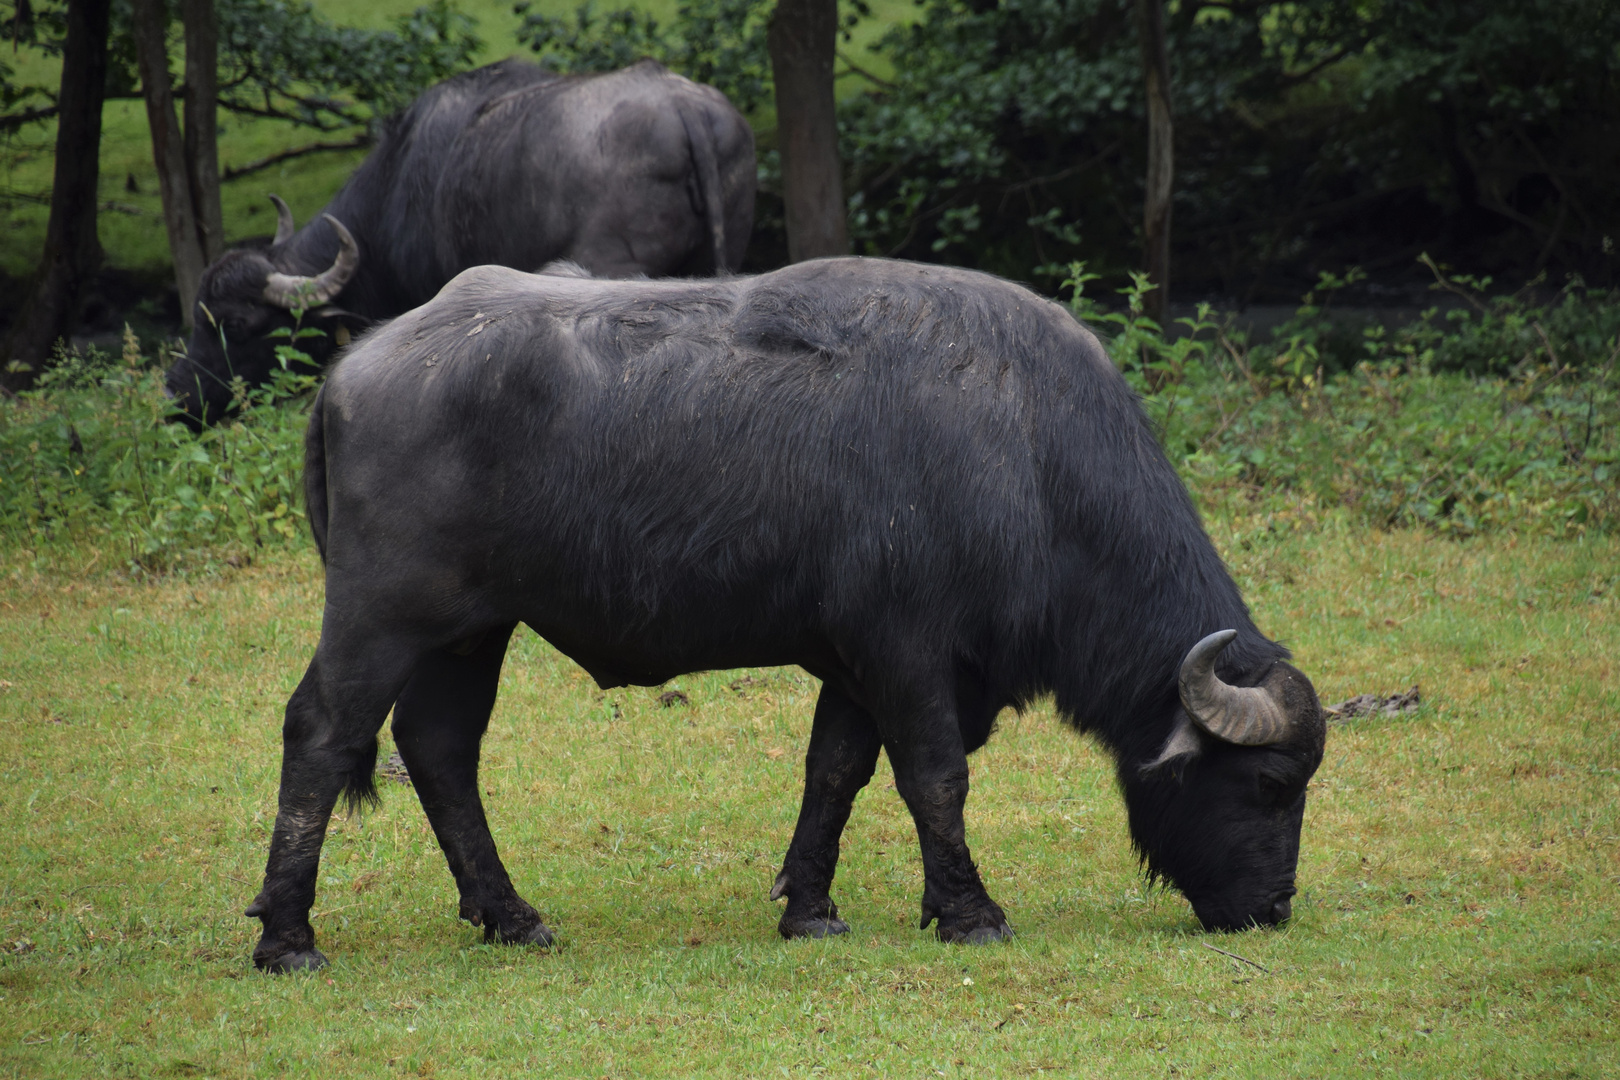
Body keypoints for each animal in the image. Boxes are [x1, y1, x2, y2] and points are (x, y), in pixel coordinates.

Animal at [243, 259, 1328, 971]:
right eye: (1272, 785)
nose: (1272, 908)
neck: (1026, 451)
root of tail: (354, 369)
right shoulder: (910, 650)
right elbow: (936, 777)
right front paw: (969, 908)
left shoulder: (854, 661)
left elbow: (836, 772)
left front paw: (809, 906)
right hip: (382, 613)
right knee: (323, 733)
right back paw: (288, 935)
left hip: (471, 631)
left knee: (439, 748)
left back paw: (508, 913)